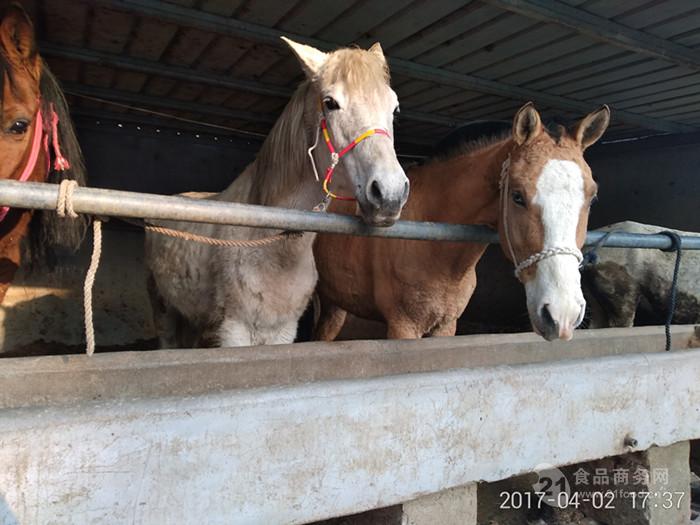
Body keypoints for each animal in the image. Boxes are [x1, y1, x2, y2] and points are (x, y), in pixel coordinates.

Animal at [146, 37, 410, 348]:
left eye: (394, 109)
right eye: (330, 103)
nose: (390, 194)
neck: (271, 245)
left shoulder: (283, 332)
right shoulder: (234, 331)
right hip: (163, 310)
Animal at [314, 103, 608, 342]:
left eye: (592, 197)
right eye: (517, 196)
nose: (562, 315)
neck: (434, 245)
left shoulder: (446, 326)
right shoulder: (402, 327)